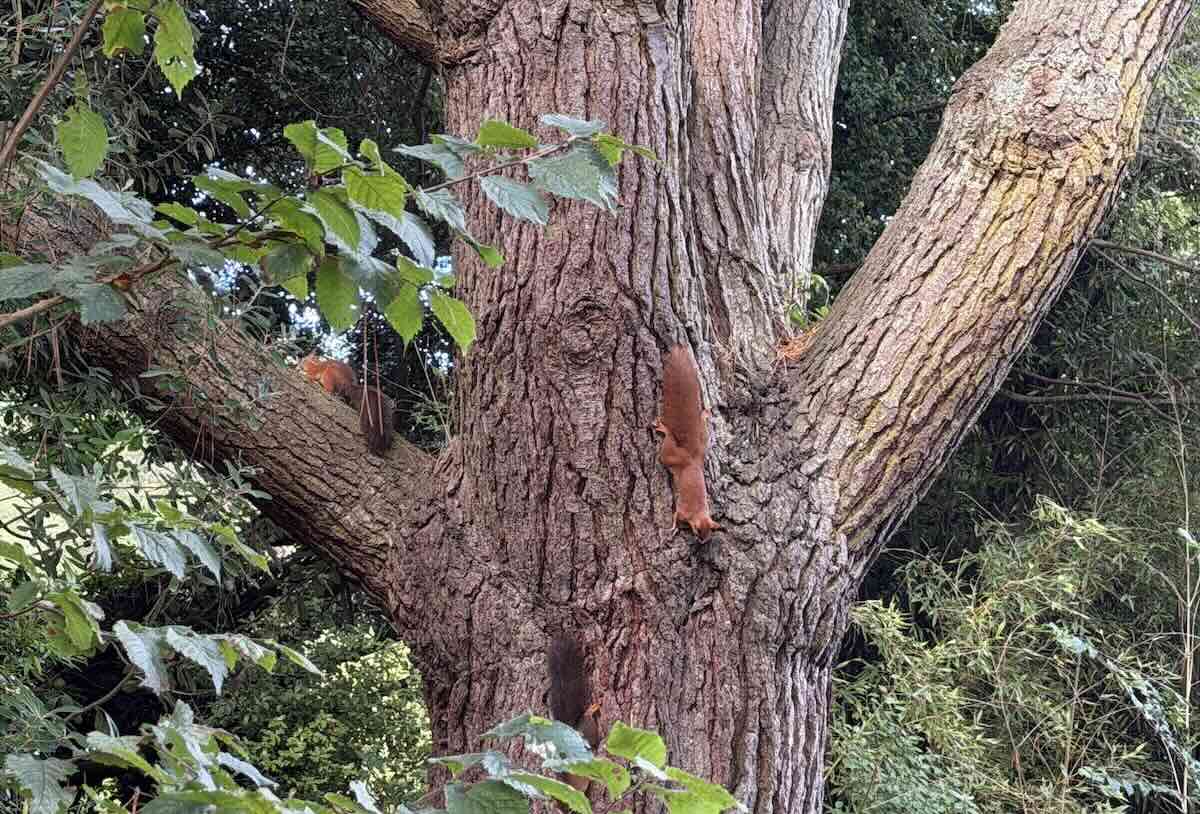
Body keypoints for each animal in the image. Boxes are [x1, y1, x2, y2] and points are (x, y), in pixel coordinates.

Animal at [654, 345, 720, 540]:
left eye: (710, 532)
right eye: (698, 531)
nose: (702, 542)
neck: (698, 513)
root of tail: (692, 459)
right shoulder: (683, 511)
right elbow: (676, 516)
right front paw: (673, 528)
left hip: (702, 442)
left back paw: (704, 414)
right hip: (670, 455)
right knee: (667, 443)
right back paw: (665, 428)